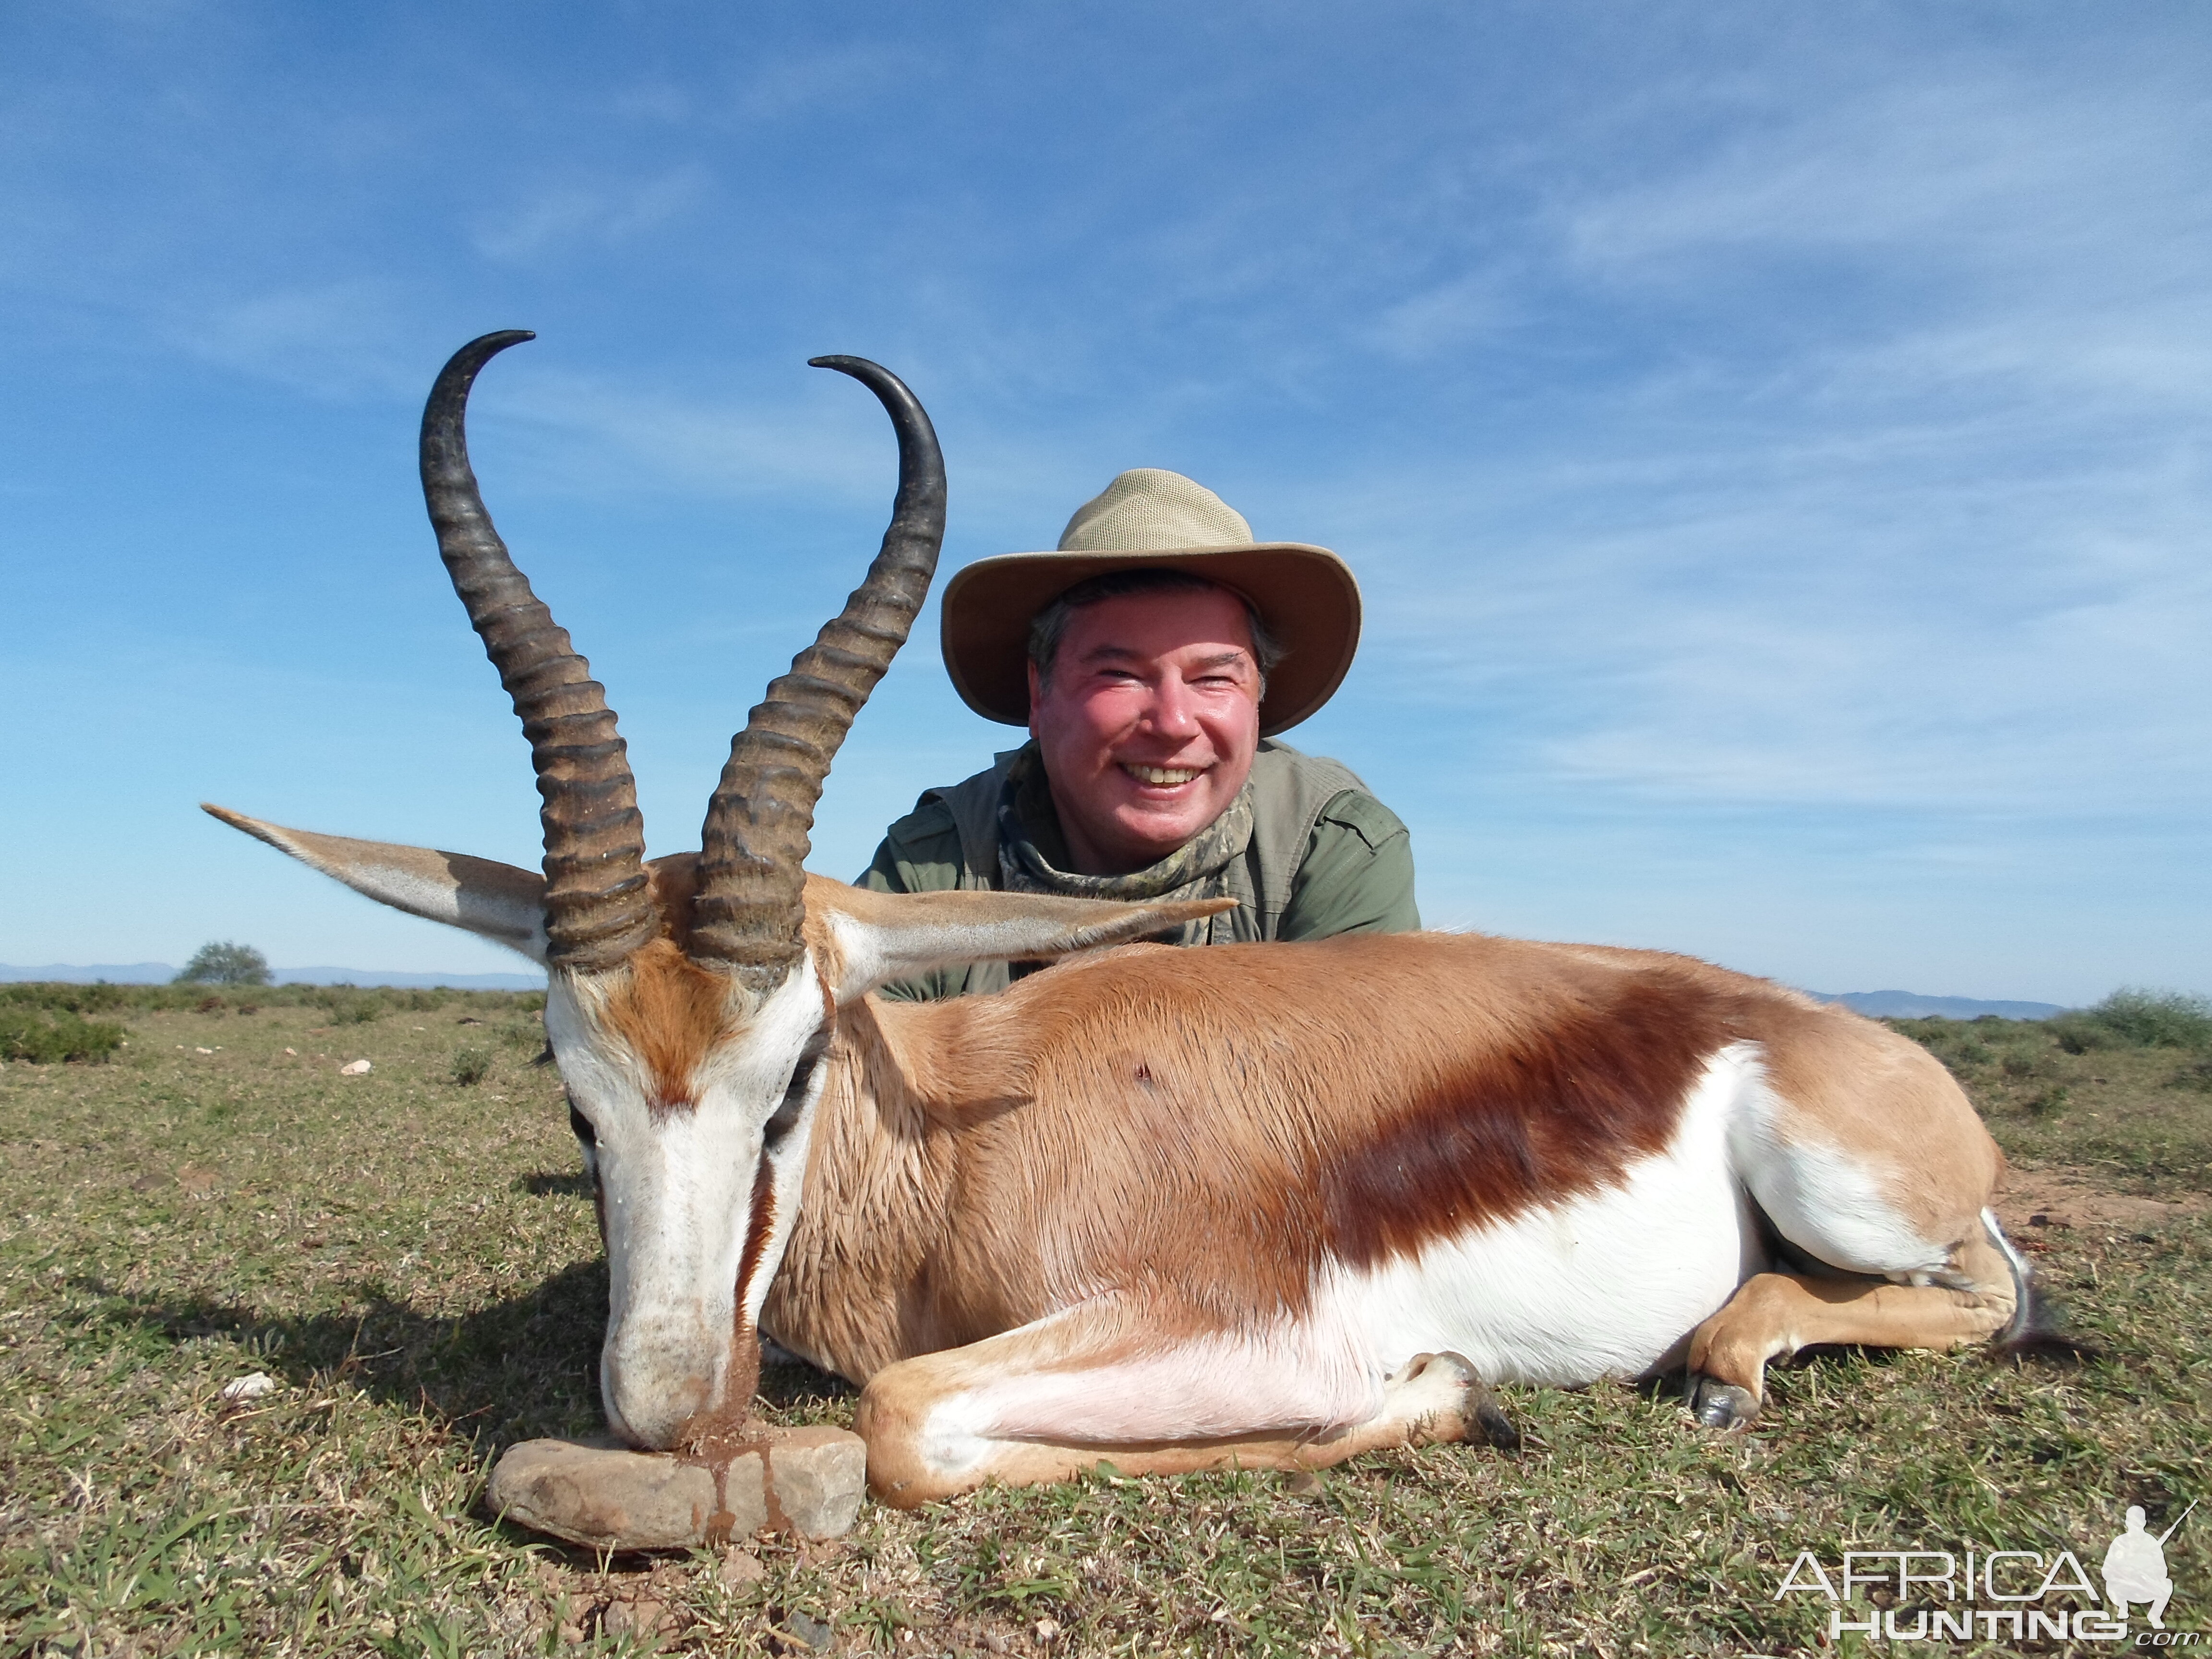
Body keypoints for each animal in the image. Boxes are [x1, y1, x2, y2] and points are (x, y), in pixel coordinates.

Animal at [216, 332, 2026, 1513]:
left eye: (791, 1073)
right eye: (571, 1101)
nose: (663, 1409)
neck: (958, 1146)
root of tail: (1794, 1016)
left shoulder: (1237, 1329)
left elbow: (904, 1421)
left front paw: (1446, 1399)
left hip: (1852, 1199)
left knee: (1988, 1290)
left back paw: (1721, 1364)